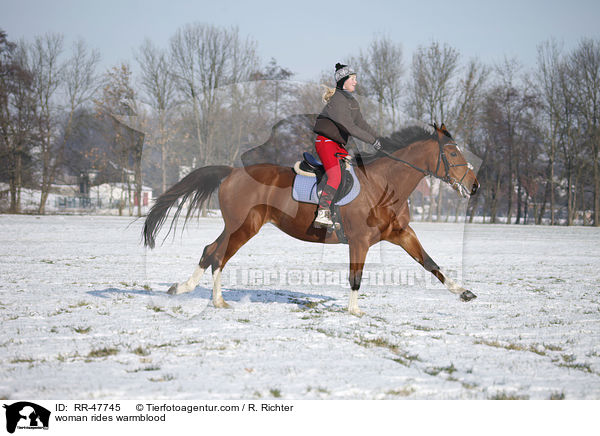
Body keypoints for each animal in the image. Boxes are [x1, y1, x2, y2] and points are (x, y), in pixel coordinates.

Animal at [143, 124, 480, 316]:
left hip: (239, 226)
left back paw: (191, 291)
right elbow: (356, 277)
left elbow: (431, 264)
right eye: (452, 154)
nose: (475, 186)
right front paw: (354, 311)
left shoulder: (402, 233)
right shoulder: (360, 241)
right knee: (217, 255)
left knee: (211, 252)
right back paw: (209, 298)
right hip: (244, 226)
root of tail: (232, 172)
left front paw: (463, 292)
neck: (385, 184)